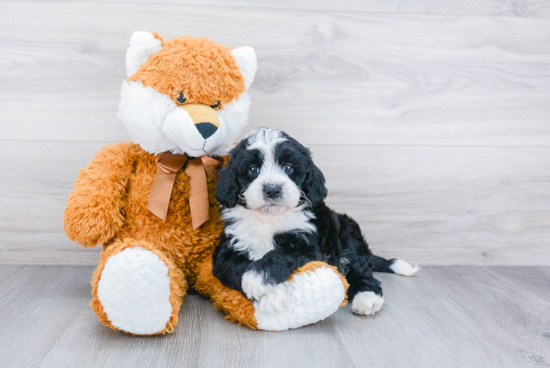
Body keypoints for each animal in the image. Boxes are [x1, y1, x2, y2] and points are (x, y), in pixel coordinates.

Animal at [213, 129, 420, 316]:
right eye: (253, 169)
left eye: (288, 167)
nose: (272, 189)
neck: (270, 219)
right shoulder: (227, 250)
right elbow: (237, 267)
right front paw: (270, 294)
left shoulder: (309, 246)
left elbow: (281, 253)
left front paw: (256, 279)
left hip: (348, 233)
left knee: (362, 273)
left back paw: (367, 298)